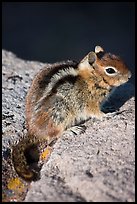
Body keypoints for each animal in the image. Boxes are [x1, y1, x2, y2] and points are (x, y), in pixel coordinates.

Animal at [11, 45, 131, 181]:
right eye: (110, 70)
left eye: (119, 58)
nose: (129, 76)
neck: (91, 77)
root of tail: (33, 132)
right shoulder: (89, 103)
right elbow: (97, 113)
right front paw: (107, 115)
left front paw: (109, 108)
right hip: (59, 113)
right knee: (54, 134)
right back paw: (72, 129)